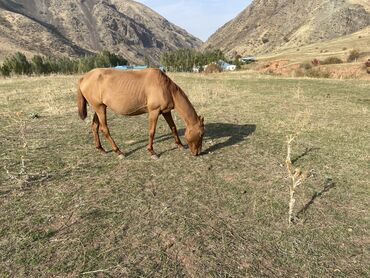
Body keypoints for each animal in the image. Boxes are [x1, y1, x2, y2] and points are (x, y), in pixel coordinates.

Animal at [77, 67, 205, 159]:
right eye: (201, 134)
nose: (198, 153)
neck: (166, 88)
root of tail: (84, 77)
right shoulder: (154, 112)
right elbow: (152, 132)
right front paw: (152, 151)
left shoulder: (166, 112)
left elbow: (173, 127)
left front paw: (179, 145)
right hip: (99, 108)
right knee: (104, 129)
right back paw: (118, 151)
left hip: (99, 108)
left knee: (95, 127)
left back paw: (101, 149)